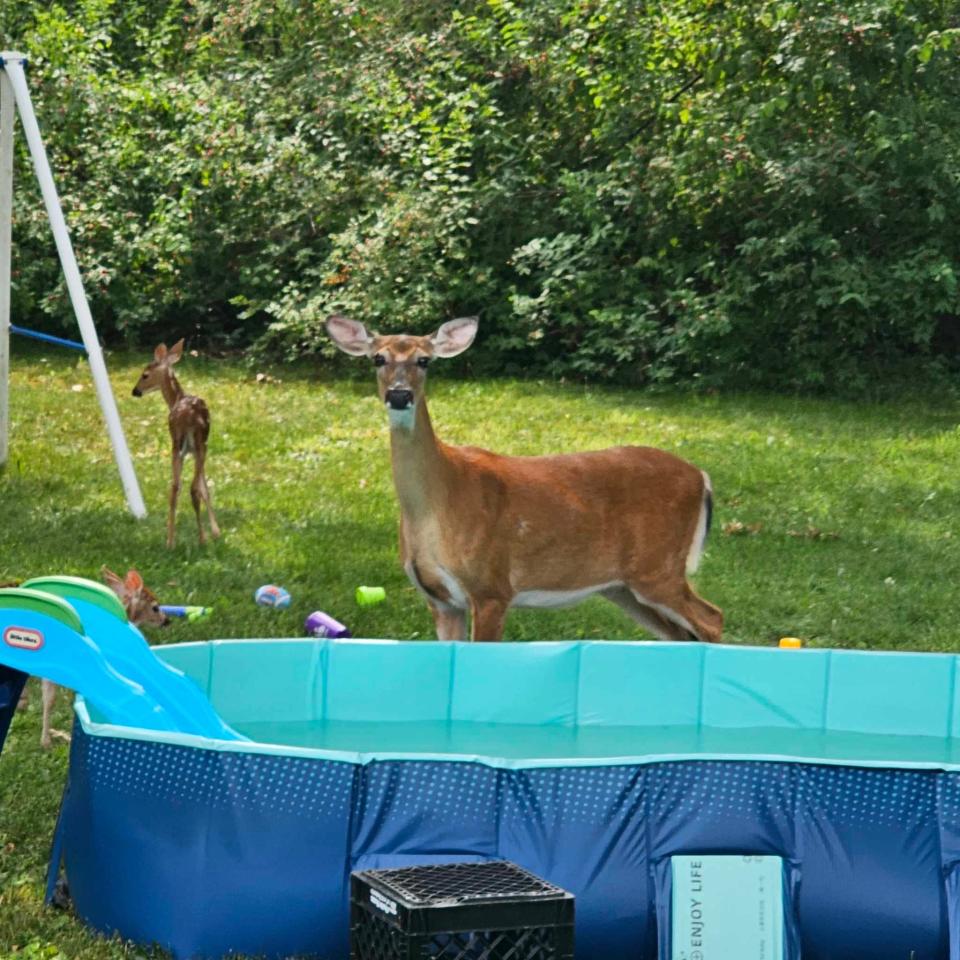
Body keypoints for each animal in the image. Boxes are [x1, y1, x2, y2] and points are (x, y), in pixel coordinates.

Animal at [133, 340, 221, 548]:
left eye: (145, 374)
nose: (135, 391)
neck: (177, 398)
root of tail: (189, 416)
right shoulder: (197, 449)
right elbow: (204, 488)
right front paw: (215, 532)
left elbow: (203, 488)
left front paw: (215, 531)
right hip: (196, 445)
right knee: (188, 488)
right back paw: (198, 538)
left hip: (181, 444)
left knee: (176, 488)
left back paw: (172, 541)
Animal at [326, 316, 724, 644]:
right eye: (378, 358)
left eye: (425, 360)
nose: (399, 395)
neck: (438, 501)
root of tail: (701, 477)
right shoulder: (440, 601)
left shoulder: (492, 587)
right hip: (623, 587)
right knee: (682, 635)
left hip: (659, 568)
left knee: (712, 618)